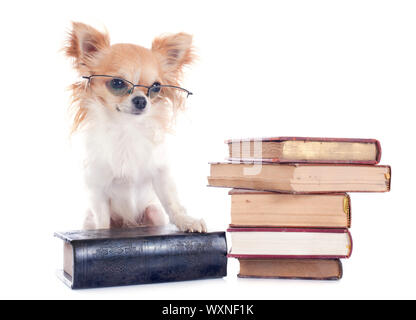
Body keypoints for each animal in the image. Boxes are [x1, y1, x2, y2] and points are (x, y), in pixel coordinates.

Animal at [65, 22, 206, 232]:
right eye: (117, 83)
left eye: (156, 87)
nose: (141, 100)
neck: (127, 128)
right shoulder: (97, 189)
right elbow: (102, 221)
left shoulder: (160, 174)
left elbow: (172, 202)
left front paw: (187, 221)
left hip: (153, 212)